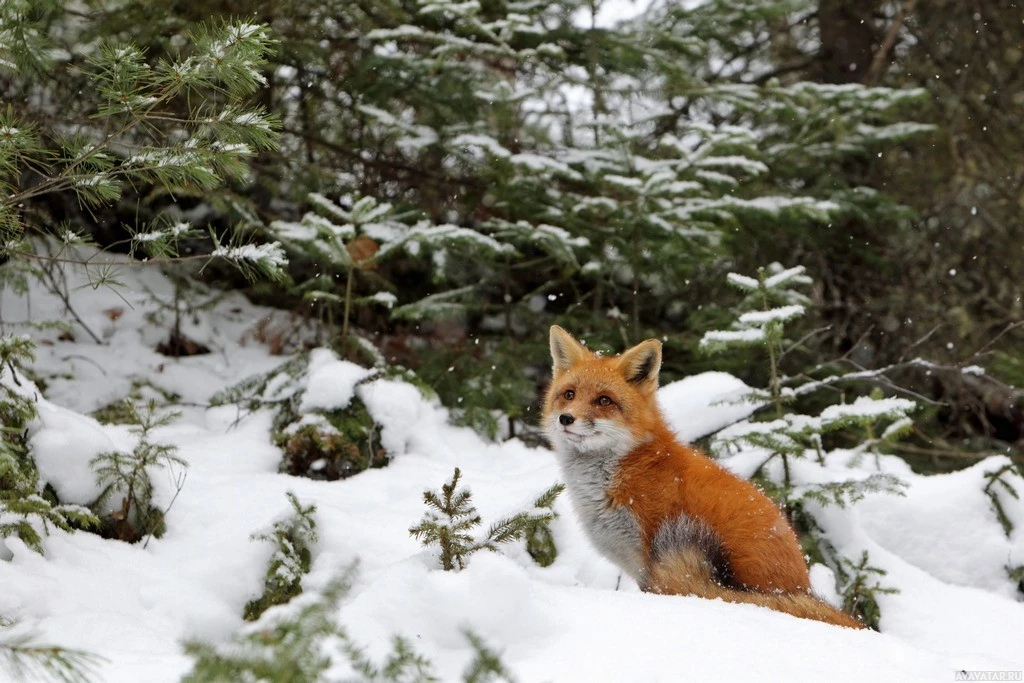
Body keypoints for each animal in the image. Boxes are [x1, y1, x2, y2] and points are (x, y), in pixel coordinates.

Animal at [544, 325, 864, 630]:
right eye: (569, 394)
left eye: (604, 400)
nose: (566, 419)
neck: (629, 467)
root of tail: (803, 585)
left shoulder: (650, 556)